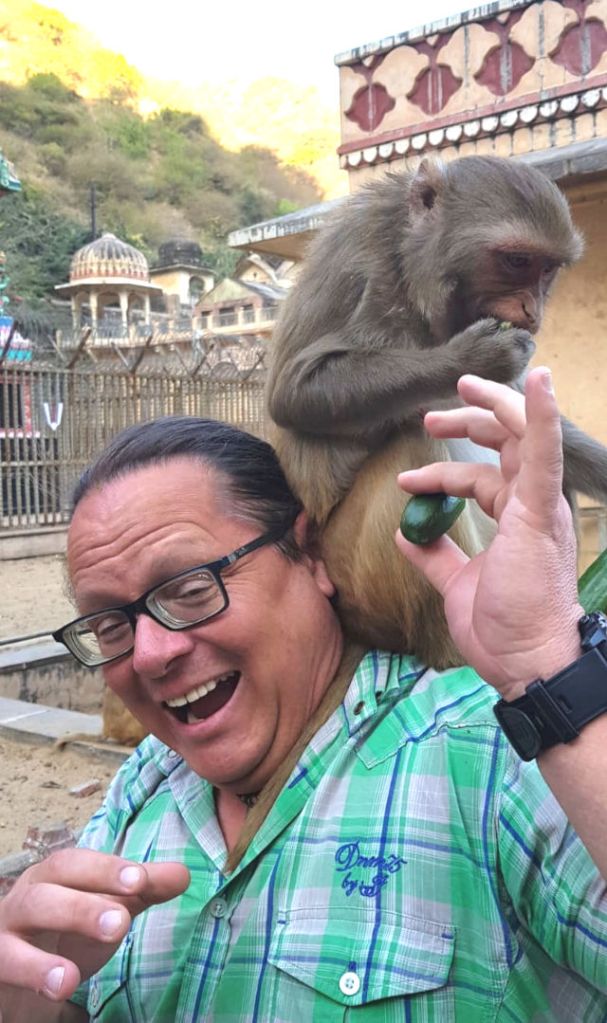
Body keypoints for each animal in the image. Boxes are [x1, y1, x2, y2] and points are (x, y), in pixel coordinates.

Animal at [266, 155, 605, 670]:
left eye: (547, 269)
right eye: (516, 261)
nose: (532, 310)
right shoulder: (355, 252)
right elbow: (294, 393)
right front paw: (474, 357)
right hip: (355, 581)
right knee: (414, 442)